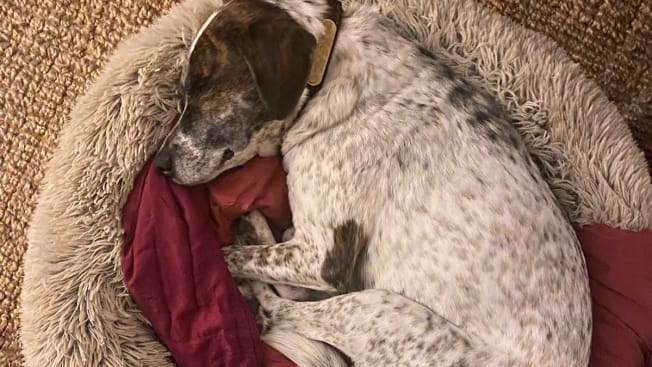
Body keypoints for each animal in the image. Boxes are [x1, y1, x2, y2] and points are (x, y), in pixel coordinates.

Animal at [155, 0, 592, 366]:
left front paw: (226, 260)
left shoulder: (322, 258)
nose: (159, 165)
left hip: (379, 310)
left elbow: (230, 256)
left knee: (278, 311)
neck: (326, 74)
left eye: (203, 86)